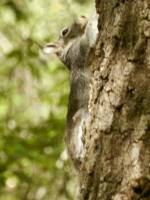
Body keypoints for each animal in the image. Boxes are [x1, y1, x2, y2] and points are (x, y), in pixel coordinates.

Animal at [43, 12, 98, 169]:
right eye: (64, 31)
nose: (83, 16)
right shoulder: (79, 51)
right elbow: (89, 39)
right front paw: (95, 17)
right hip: (80, 117)